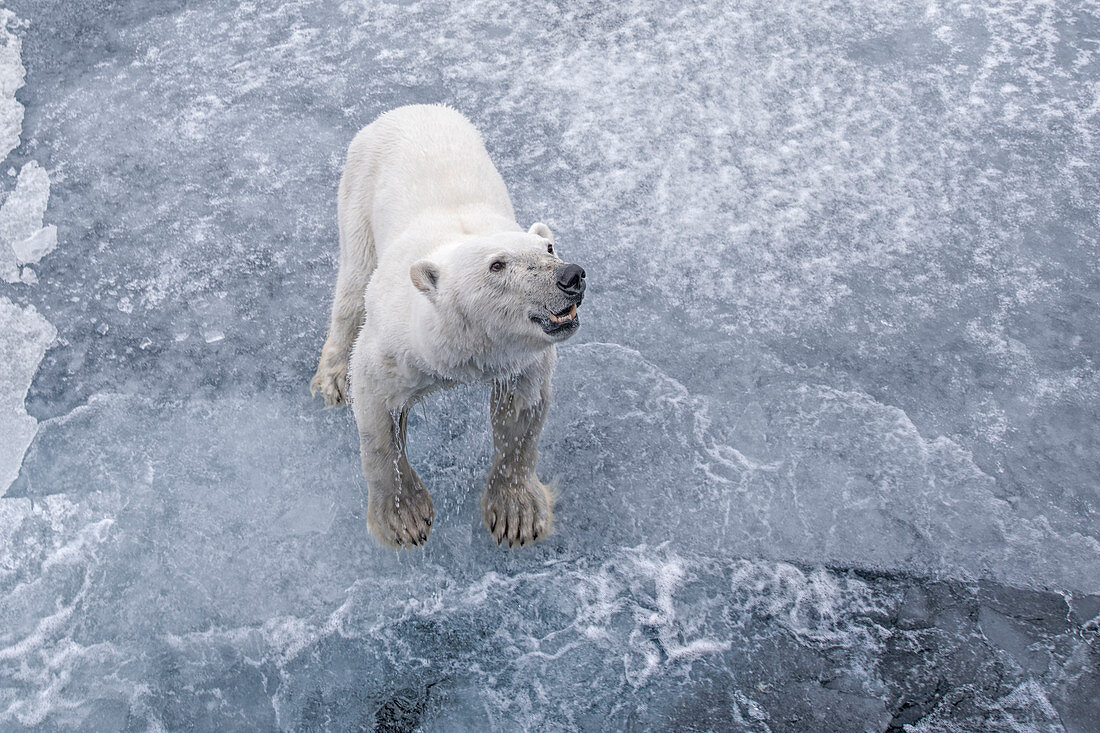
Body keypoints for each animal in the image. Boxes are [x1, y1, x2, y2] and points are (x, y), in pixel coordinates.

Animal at [310, 105, 585, 545]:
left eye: (549, 247)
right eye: (497, 265)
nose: (571, 276)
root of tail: (409, 108)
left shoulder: (521, 359)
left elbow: (521, 416)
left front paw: (517, 513)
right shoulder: (395, 346)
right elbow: (377, 420)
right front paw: (403, 519)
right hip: (358, 190)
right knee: (352, 285)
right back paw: (333, 378)